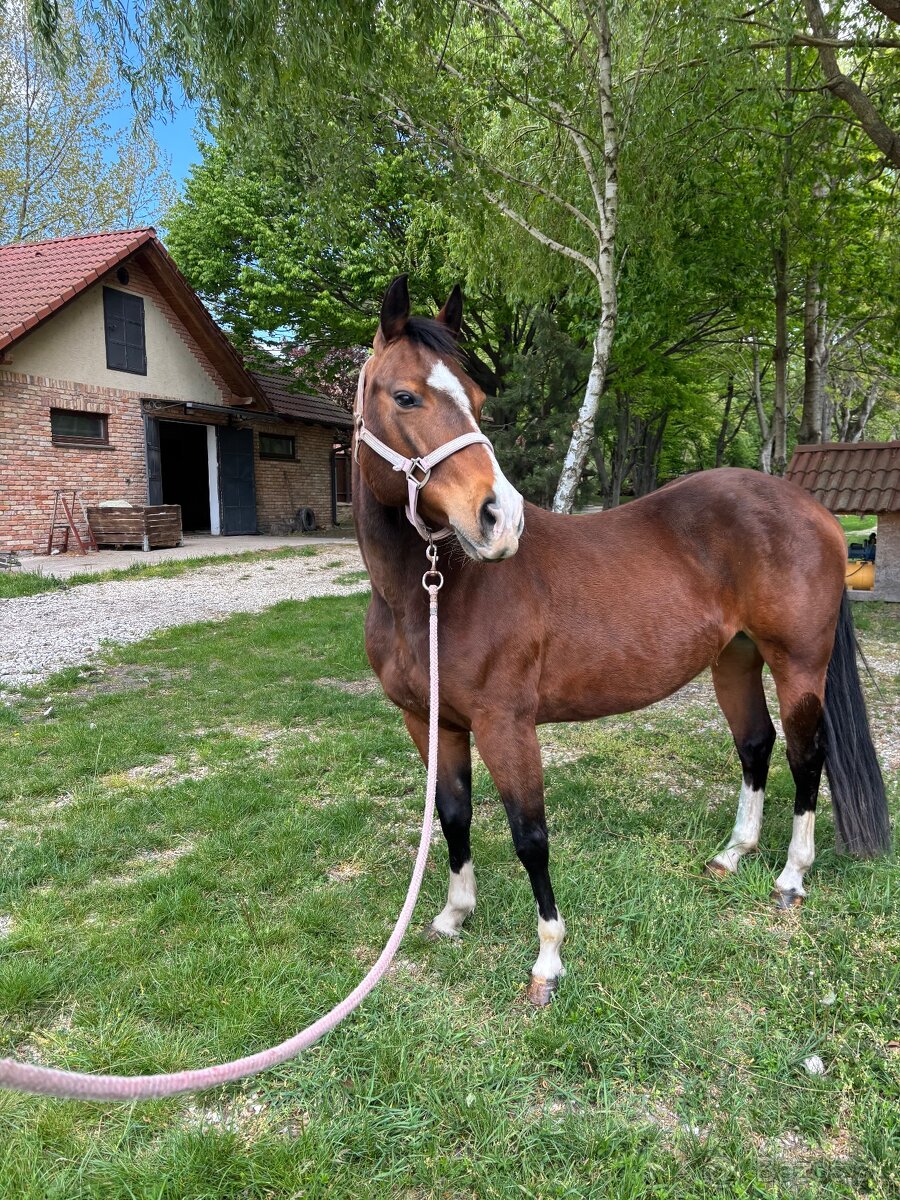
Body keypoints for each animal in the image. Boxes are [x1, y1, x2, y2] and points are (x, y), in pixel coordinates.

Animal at [352, 275, 890, 1006]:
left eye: (478, 399)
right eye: (405, 396)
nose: (500, 518)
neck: (433, 595)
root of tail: (817, 514)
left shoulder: (505, 723)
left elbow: (529, 835)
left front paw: (548, 960)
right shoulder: (430, 722)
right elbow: (453, 816)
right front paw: (454, 915)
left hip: (798, 665)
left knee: (808, 757)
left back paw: (790, 877)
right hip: (735, 659)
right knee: (756, 744)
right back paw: (733, 854)